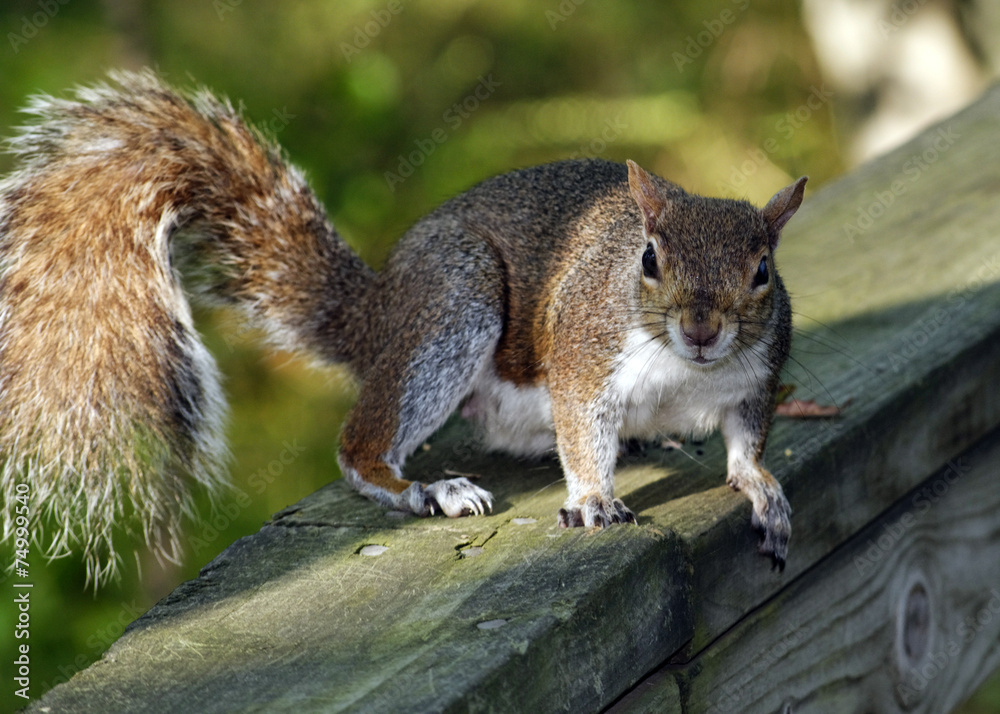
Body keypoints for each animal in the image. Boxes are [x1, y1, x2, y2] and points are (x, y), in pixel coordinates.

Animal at [0, 70, 806, 582]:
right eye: (648, 258)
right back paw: (426, 488)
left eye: (763, 271)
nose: (701, 329)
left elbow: (746, 439)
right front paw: (593, 499)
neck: (685, 370)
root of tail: (379, 314)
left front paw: (760, 487)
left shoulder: (756, 377)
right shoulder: (584, 357)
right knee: (360, 448)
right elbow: (582, 432)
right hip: (454, 302)